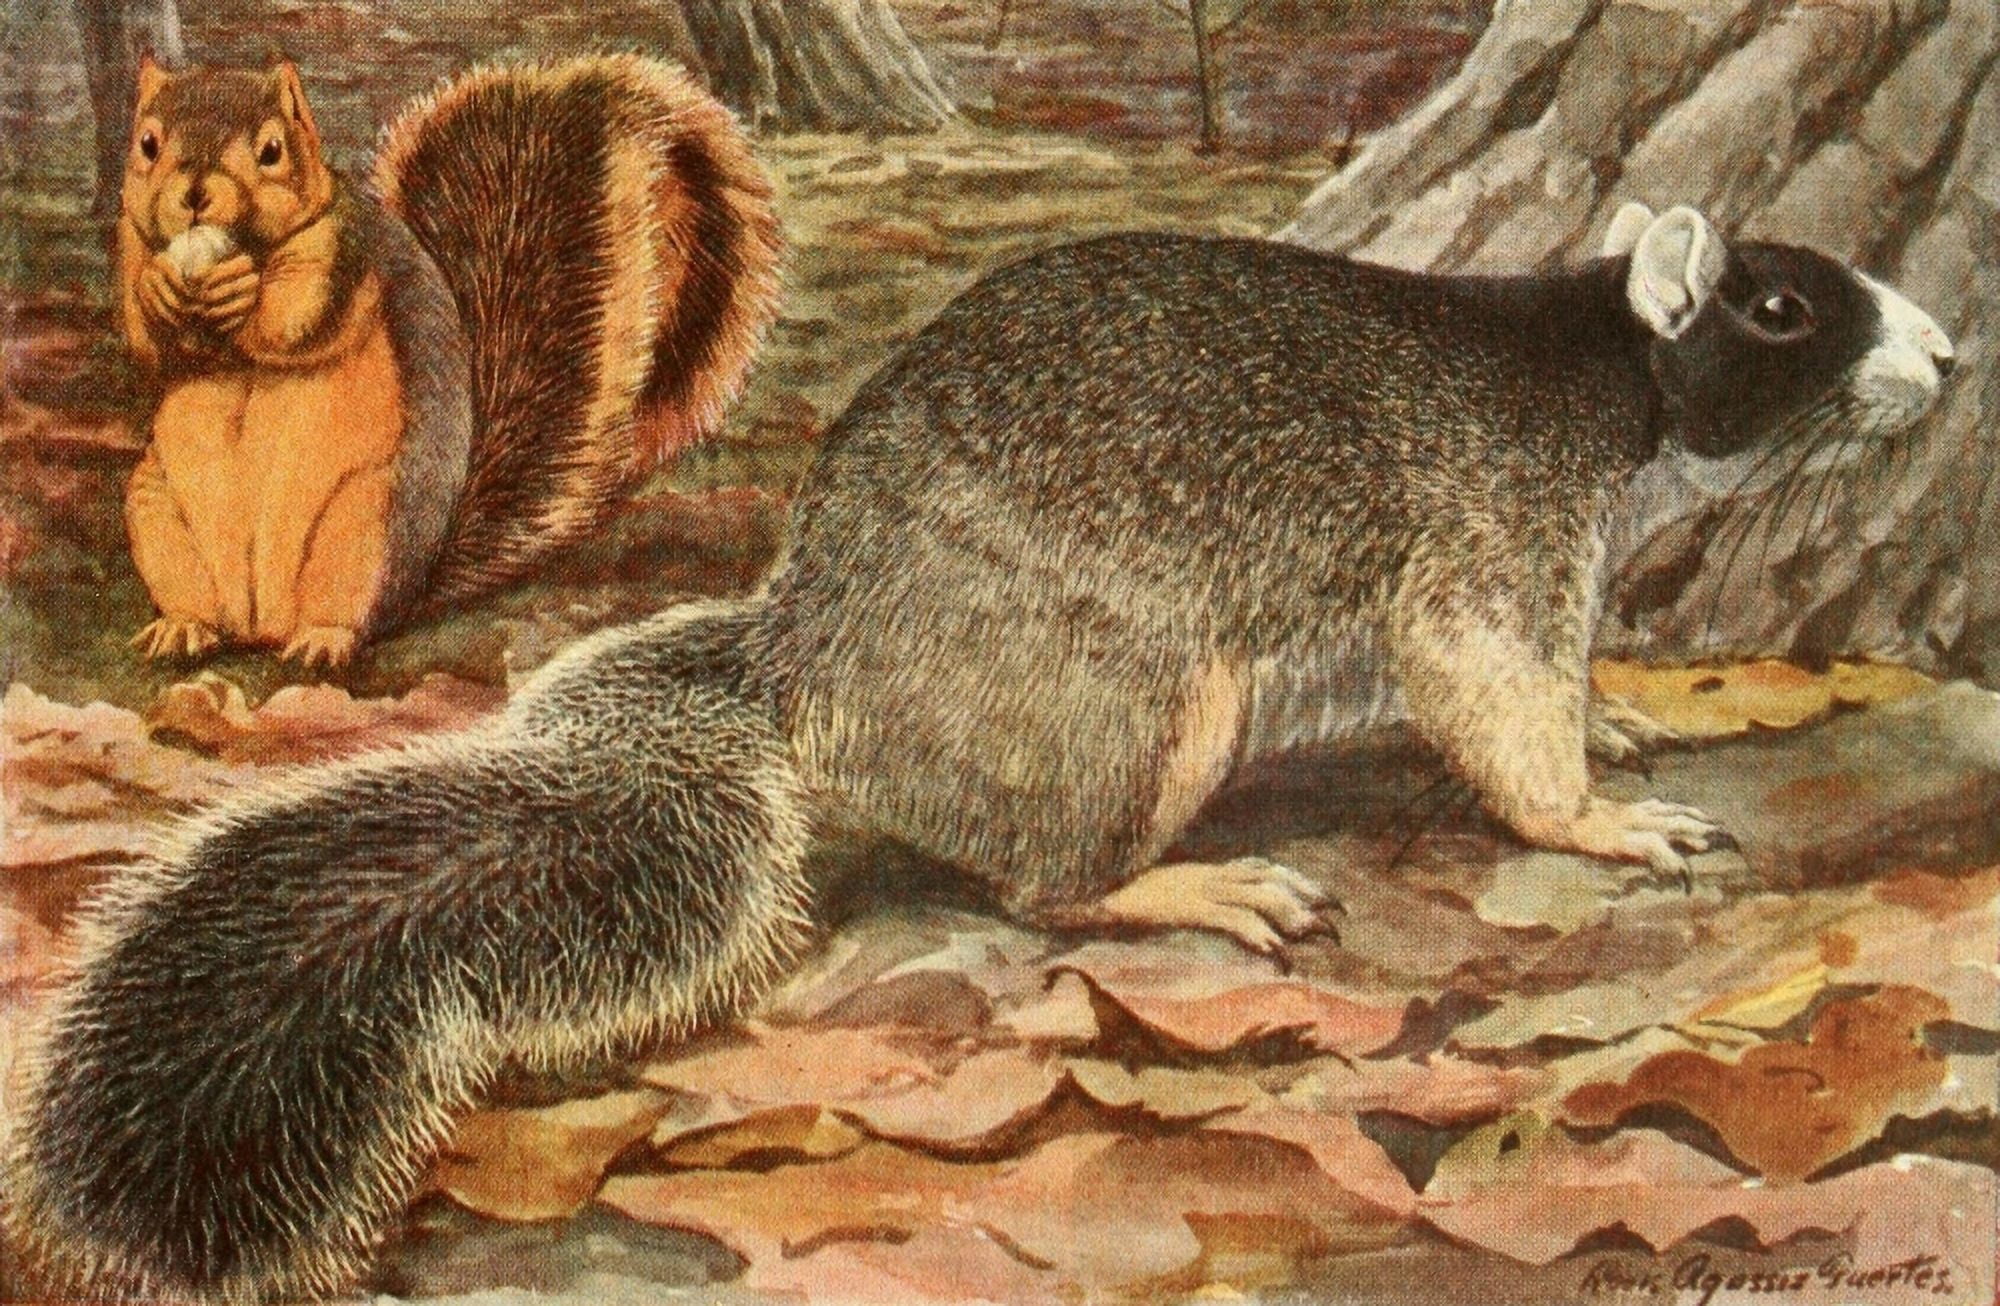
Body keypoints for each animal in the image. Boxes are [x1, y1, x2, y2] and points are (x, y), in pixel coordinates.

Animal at [9, 205, 1955, 1302]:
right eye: (1785, 308)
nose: (1946, 349)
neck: (1588, 363)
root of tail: (813, 665)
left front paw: (1623, 713)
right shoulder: (1491, 524)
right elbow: (1488, 682)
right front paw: (1606, 819)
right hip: (1134, 703)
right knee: (1047, 888)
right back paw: (1196, 889)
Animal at [115, 53, 781, 669]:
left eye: (272, 150)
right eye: (146, 143)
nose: (194, 194)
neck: (252, 244)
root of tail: (261, 627)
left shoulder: (343, 255)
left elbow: (298, 316)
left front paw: (242, 290)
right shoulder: (132, 243)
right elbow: (145, 334)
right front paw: (158, 291)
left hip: (366, 528)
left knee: (346, 613)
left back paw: (323, 640)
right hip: (157, 511)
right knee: (197, 603)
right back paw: (183, 628)